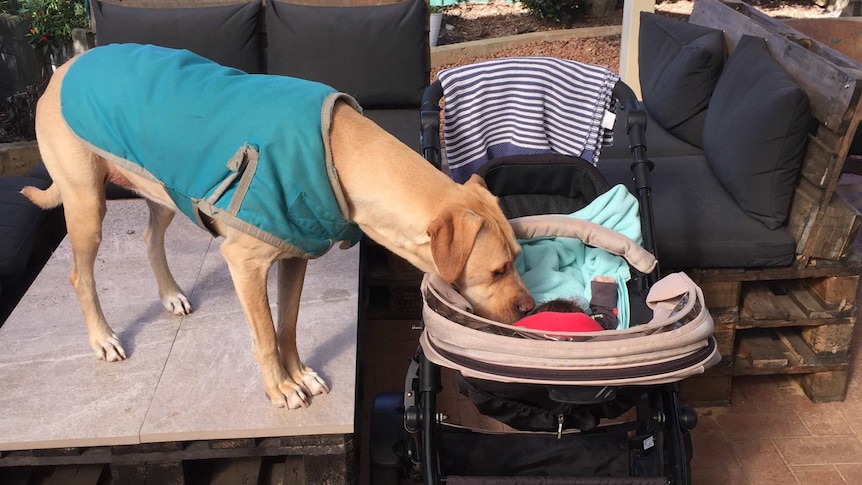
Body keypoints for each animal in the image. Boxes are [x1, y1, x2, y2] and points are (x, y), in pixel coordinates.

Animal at [23, 44, 532, 408]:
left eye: (517, 259)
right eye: (497, 270)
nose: (529, 308)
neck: (340, 151)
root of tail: (61, 70)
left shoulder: (295, 255)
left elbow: (287, 324)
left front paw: (300, 372)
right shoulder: (244, 263)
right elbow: (266, 335)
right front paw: (281, 388)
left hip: (162, 186)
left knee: (151, 238)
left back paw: (169, 294)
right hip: (87, 203)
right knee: (80, 274)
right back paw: (103, 338)